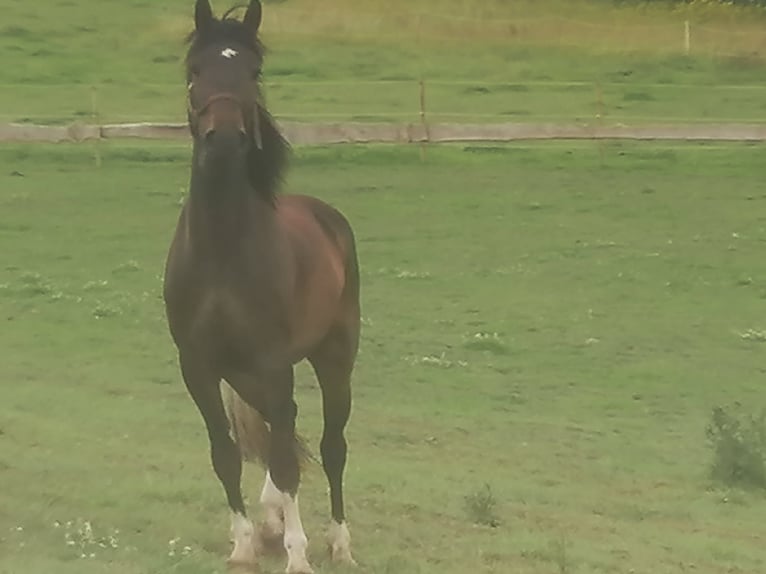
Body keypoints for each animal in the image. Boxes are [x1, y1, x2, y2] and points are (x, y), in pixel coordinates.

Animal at [160, 2, 364, 572]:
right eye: (195, 70)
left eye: (253, 72)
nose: (225, 140)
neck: (223, 253)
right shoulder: (200, 367)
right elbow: (226, 454)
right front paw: (245, 545)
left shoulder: (273, 362)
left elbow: (290, 460)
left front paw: (298, 555)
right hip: (246, 373)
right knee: (282, 428)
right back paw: (272, 523)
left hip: (333, 356)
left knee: (330, 444)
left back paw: (339, 543)